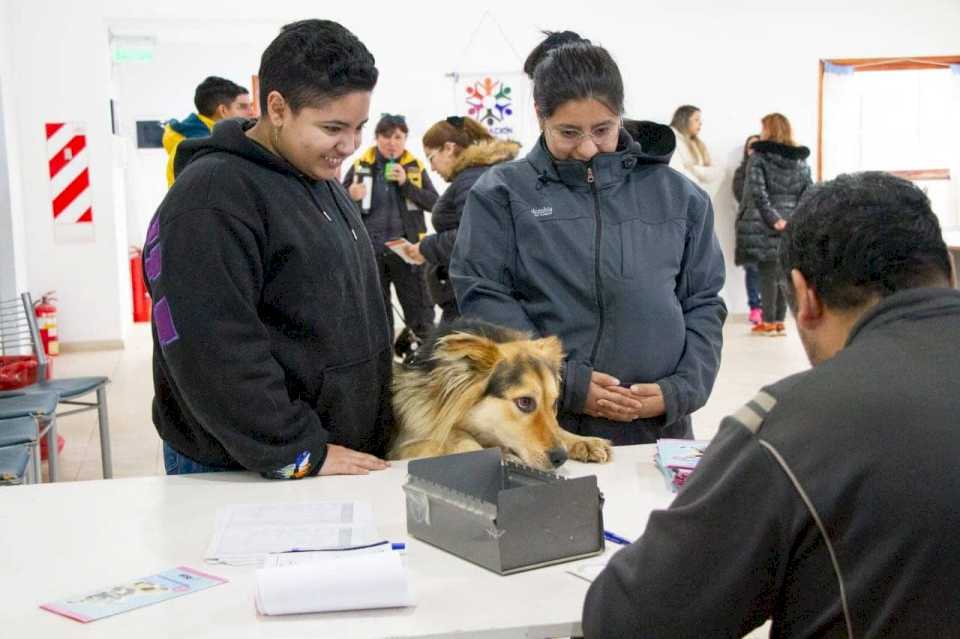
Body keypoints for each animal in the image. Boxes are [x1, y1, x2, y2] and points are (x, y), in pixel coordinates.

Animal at [386, 318, 612, 472]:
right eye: (525, 402)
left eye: (554, 403)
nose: (561, 457)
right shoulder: (405, 444)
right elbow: (451, 436)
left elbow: (557, 428)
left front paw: (584, 441)